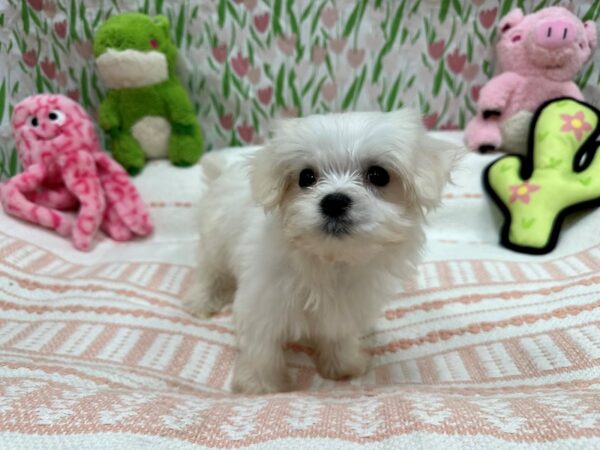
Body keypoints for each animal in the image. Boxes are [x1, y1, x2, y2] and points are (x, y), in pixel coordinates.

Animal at [185, 110, 462, 394]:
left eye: (378, 175)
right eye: (306, 177)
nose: (335, 201)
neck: (331, 260)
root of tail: (221, 174)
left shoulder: (345, 305)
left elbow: (338, 334)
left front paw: (342, 365)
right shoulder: (262, 301)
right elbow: (261, 345)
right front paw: (260, 385)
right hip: (215, 241)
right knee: (210, 271)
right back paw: (201, 301)